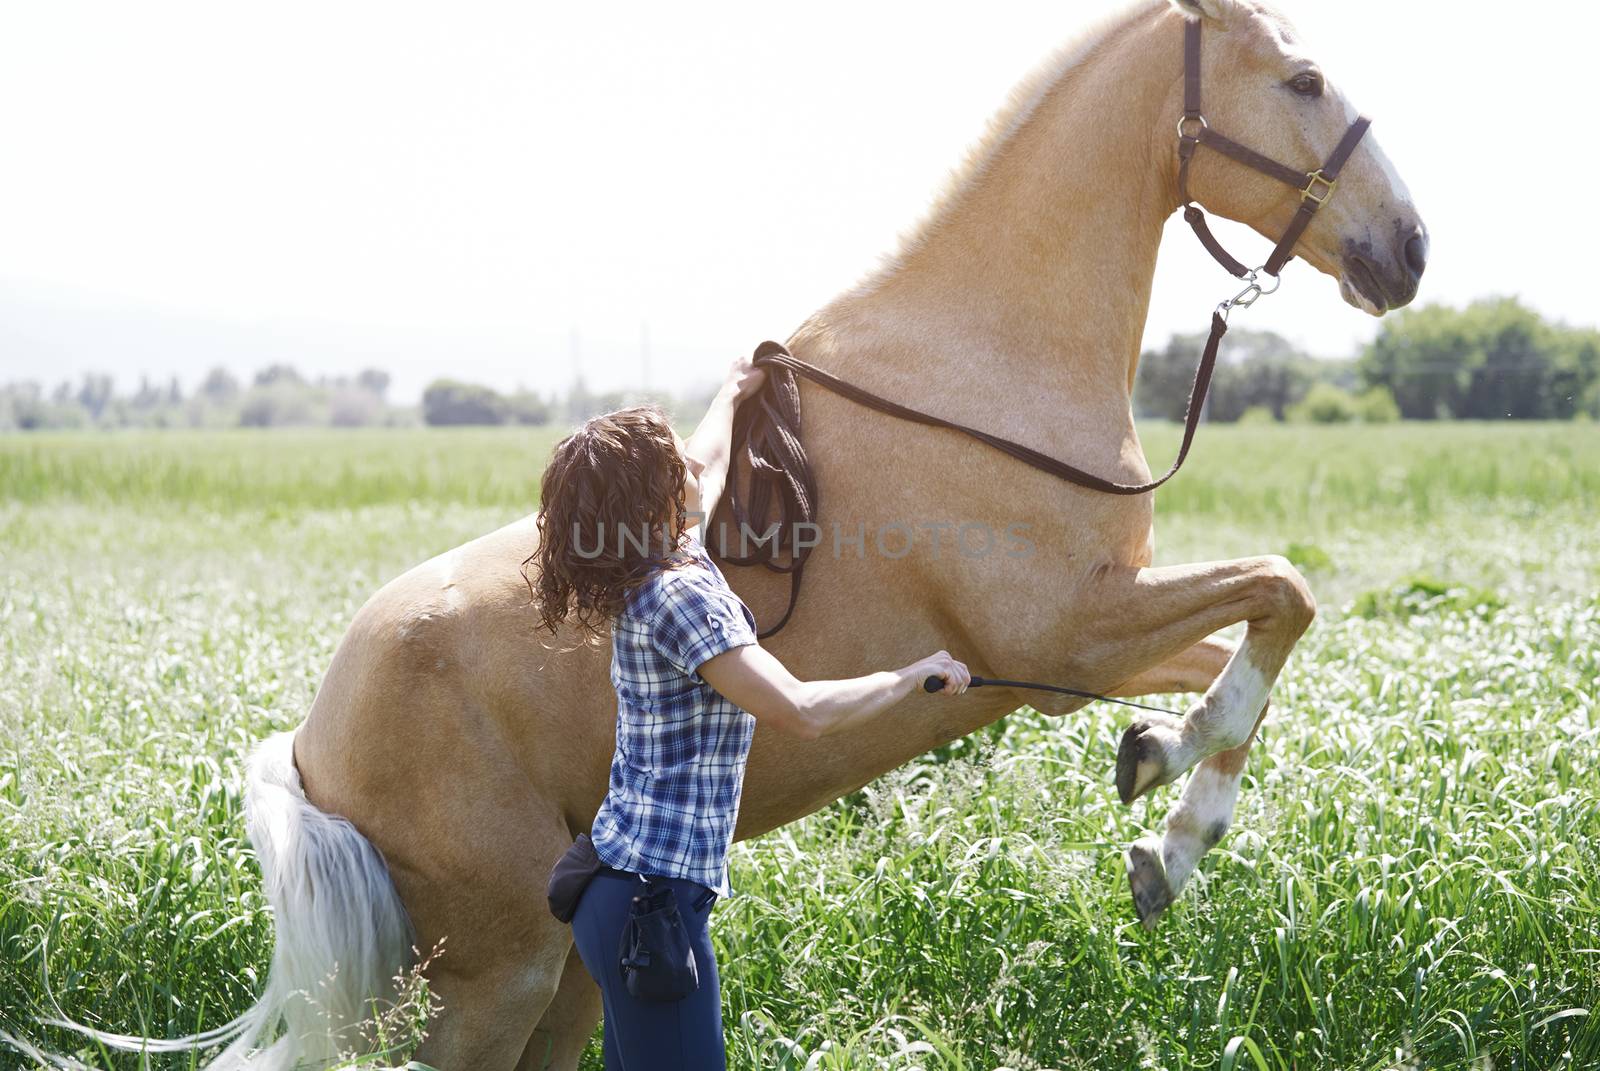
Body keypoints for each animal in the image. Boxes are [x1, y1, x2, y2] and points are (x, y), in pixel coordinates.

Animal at [50, 2, 1433, 1069]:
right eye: (1302, 79)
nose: (1409, 248)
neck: (984, 368)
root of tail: (310, 742)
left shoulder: (1076, 649)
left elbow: (1254, 663)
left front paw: (1162, 814)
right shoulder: (1069, 630)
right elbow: (1284, 590)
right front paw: (1166, 803)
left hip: (565, 976)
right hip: (487, 978)